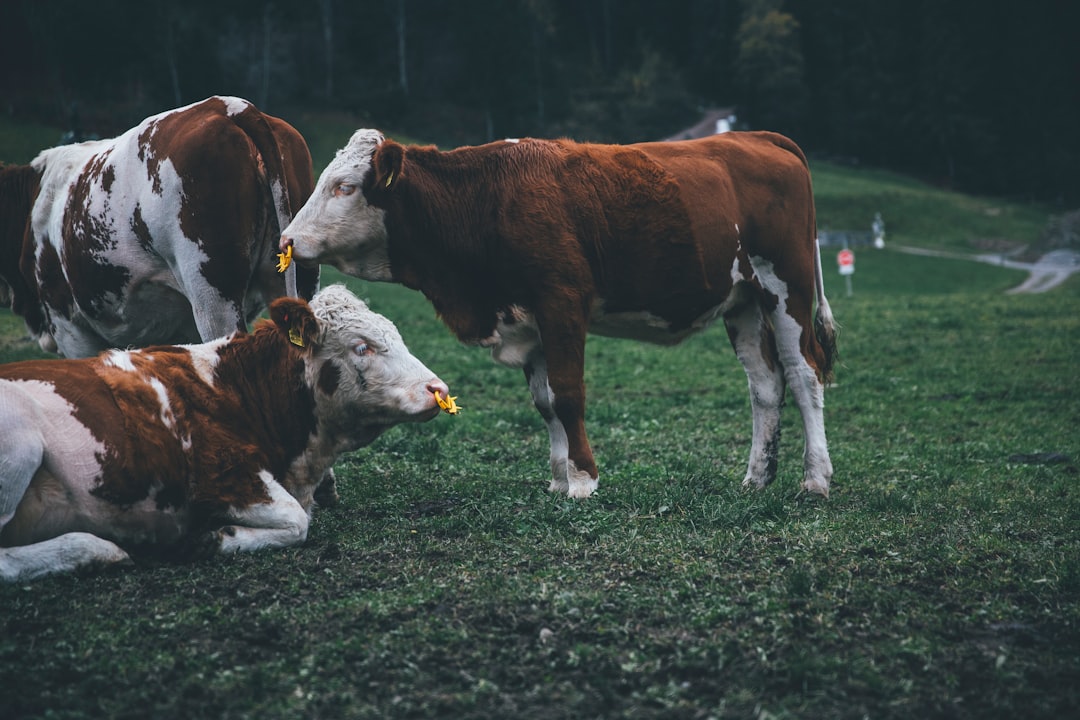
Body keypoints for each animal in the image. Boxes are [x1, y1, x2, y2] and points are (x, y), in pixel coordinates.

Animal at [0, 284, 447, 582]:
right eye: (361, 347)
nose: (438, 389)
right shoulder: (224, 474)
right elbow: (296, 521)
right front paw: (214, 539)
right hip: (20, 448)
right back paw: (93, 549)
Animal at [282, 131, 838, 496]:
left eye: (345, 186)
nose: (286, 239)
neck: (486, 199)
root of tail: (760, 137)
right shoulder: (527, 321)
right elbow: (546, 402)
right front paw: (558, 476)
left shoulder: (562, 303)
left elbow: (569, 395)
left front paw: (584, 480)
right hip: (743, 301)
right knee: (765, 385)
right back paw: (757, 477)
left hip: (786, 287)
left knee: (804, 374)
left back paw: (815, 478)